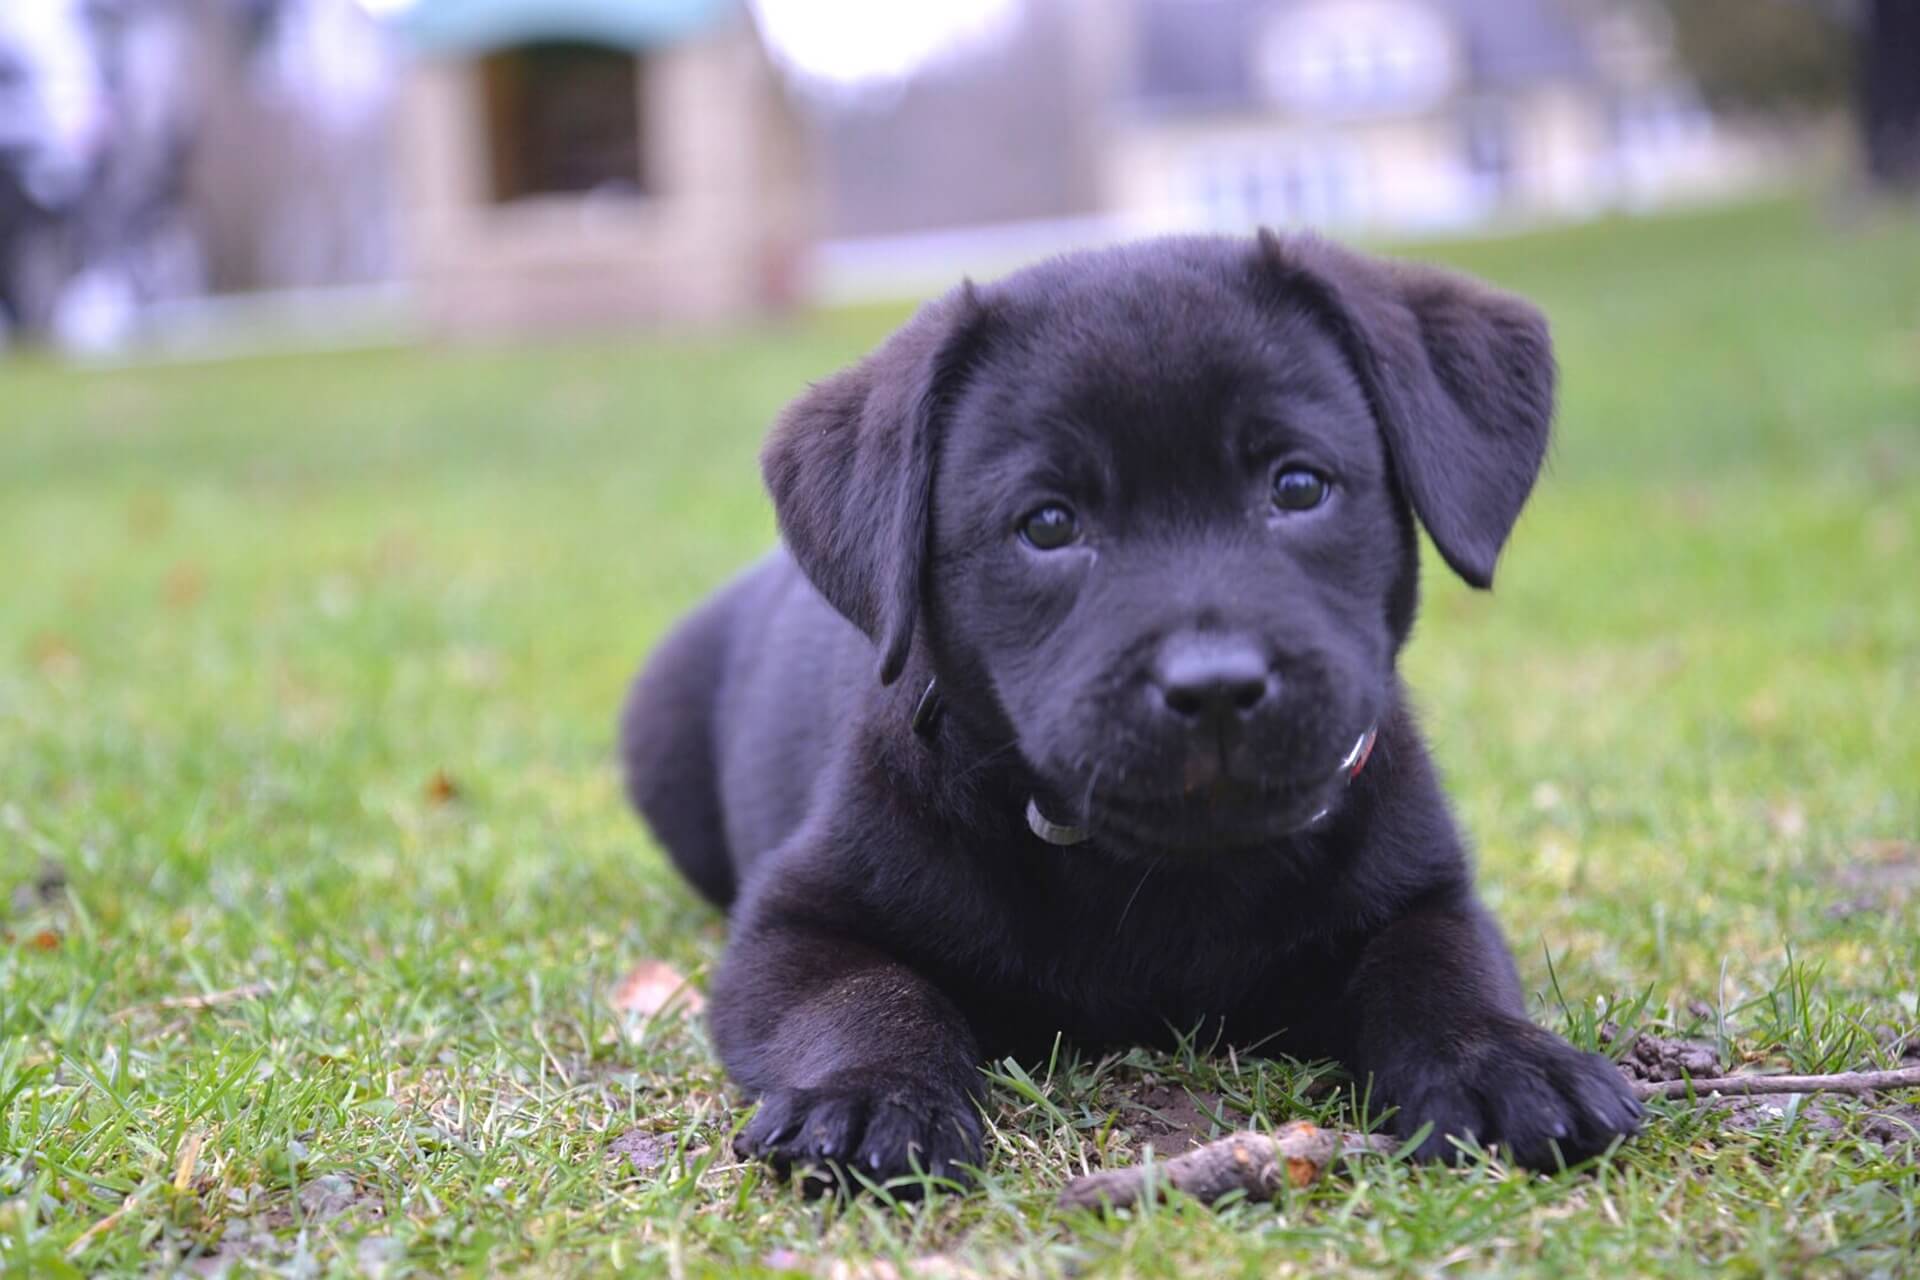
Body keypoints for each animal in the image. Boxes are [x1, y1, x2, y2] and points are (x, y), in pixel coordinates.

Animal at [622, 233, 1643, 1189]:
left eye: (1299, 485)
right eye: (1047, 524)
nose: (1216, 684)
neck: (1160, 872)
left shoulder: (1429, 889)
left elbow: (1437, 969)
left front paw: (1505, 1063)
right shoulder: (791, 924)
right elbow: (867, 995)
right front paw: (868, 1096)